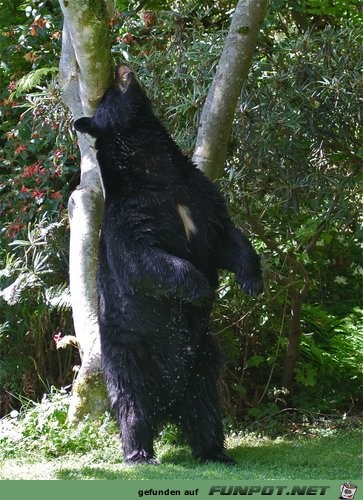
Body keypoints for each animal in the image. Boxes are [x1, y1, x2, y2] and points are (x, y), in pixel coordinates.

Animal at [74, 63, 262, 464]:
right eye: (107, 95)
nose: (120, 66)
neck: (156, 171)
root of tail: (169, 406)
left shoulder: (197, 194)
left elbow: (226, 237)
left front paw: (252, 280)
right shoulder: (131, 215)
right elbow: (144, 261)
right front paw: (201, 289)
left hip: (204, 360)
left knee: (206, 407)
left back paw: (215, 451)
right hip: (128, 355)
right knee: (131, 403)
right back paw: (139, 452)